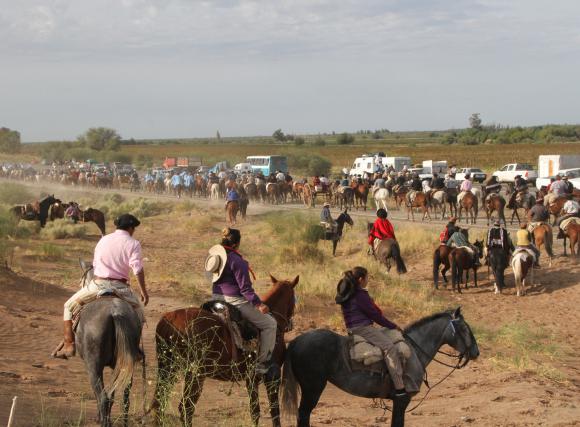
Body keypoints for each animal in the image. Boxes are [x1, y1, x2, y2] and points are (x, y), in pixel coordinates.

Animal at [149, 275, 299, 427]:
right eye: (294, 299)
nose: (290, 325)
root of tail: (168, 319)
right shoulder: (272, 378)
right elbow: (274, 412)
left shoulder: (251, 379)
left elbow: (255, 411)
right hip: (195, 374)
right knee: (186, 407)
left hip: (168, 369)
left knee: (160, 403)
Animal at [281, 307, 479, 427]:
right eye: (464, 328)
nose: (476, 352)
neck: (414, 350)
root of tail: (296, 341)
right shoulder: (401, 400)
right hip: (312, 389)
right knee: (303, 415)